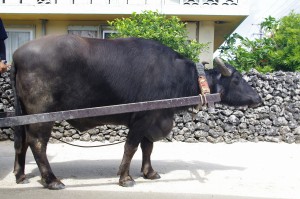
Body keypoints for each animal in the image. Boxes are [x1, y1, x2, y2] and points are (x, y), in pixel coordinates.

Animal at [10, 34, 262, 190]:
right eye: (237, 79)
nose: (258, 98)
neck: (176, 75)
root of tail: (17, 55)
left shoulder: (152, 119)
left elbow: (147, 147)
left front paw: (149, 172)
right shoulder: (141, 119)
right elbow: (131, 147)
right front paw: (125, 177)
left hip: (25, 115)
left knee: (22, 141)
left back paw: (20, 174)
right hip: (43, 116)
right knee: (37, 143)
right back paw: (52, 180)